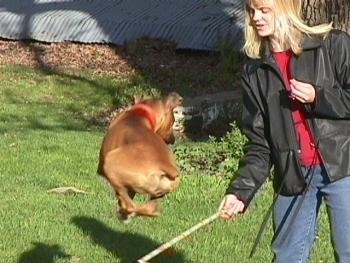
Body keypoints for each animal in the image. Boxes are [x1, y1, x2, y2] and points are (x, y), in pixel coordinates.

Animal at [96, 93, 182, 223]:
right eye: (173, 121)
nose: (173, 139)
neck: (140, 114)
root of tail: (164, 164)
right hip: (158, 193)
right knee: (150, 210)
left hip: (110, 163)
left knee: (130, 205)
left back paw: (124, 213)